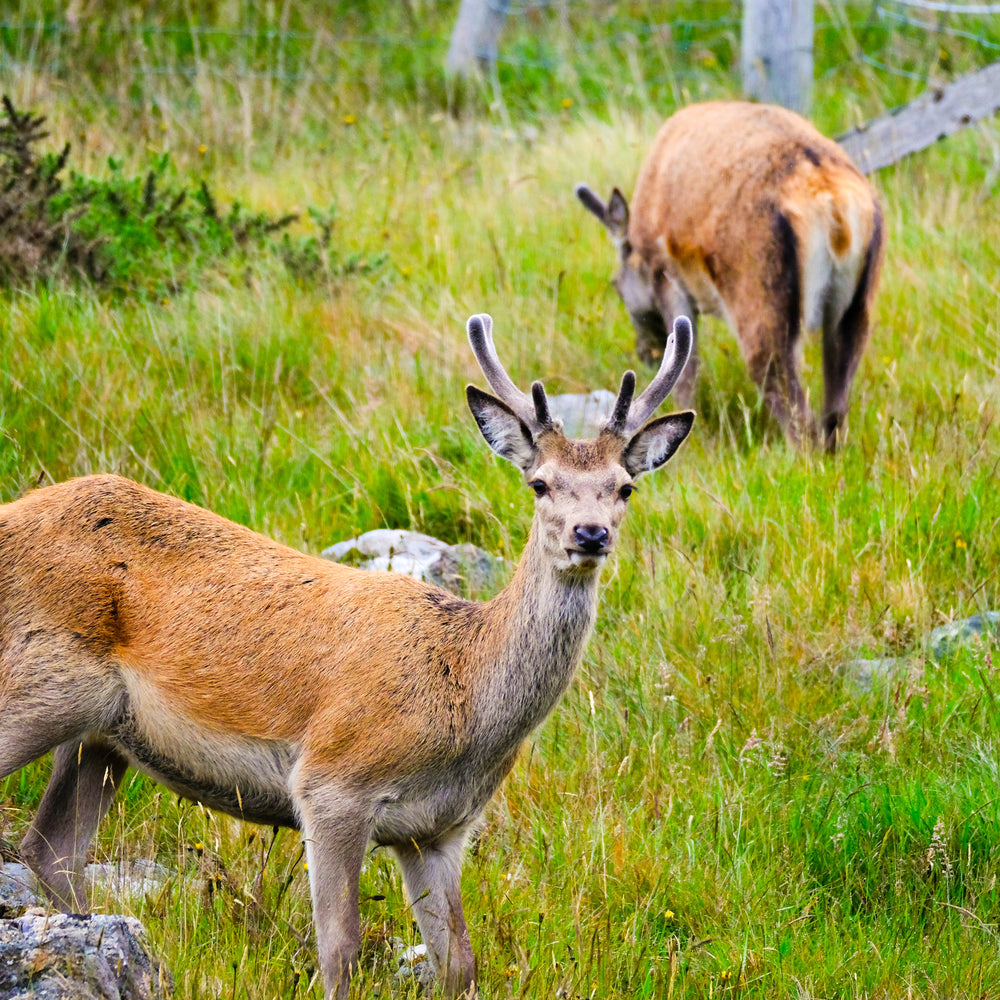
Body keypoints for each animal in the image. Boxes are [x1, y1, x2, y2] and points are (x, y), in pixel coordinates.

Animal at [0, 310, 696, 992]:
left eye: (625, 487)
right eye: (540, 484)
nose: (590, 533)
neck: (465, 691)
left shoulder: (438, 832)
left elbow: (460, 965)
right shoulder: (332, 784)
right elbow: (340, 952)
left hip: (102, 736)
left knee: (52, 850)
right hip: (35, 684)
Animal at [576, 99, 888, 452]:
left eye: (616, 286)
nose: (646, 352)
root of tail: (833, 203)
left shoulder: (667, 278)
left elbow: (688, 371)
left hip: (758, 291)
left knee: (789, 397)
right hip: (856, 305)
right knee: (836, 406)